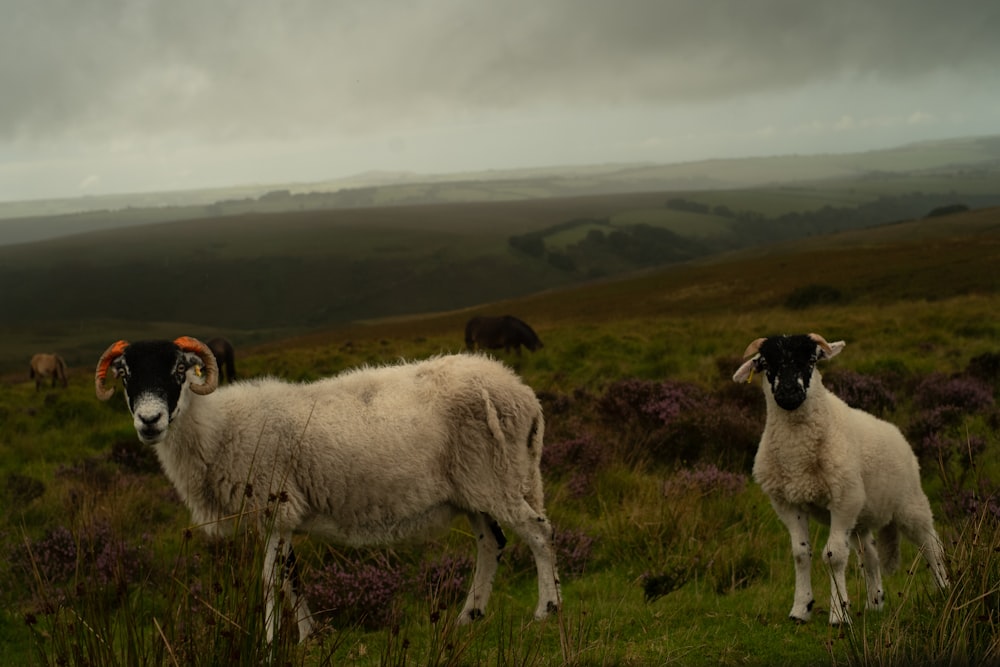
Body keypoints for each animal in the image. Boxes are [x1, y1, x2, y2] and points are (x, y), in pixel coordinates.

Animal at [94, 336, 564, 644]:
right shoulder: (281, 516)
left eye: (178, 370)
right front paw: (309, 637)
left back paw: (547, 610)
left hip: (499, 477)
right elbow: (292, 579)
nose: (150, 421)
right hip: (473, 488)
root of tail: (522, 393)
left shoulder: (274, 505)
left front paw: (269, 644)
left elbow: (270, 581)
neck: (219, 429)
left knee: (539, 532)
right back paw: (469, 616)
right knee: (492, 542)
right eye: (126, 375)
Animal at [732, 334, 948, 628]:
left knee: (931, 545)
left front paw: (839, 614)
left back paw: (944, 590)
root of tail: (898, 434)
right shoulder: (788, 503)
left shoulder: (844, 499)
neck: (796, 454)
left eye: (812, 359)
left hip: (909, 504)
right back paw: (875, 603)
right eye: (765, 363)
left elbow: (834, 555)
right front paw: (800, 610)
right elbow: (801, 554)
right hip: (861, 519)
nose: (789, 393)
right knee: (870, 556)